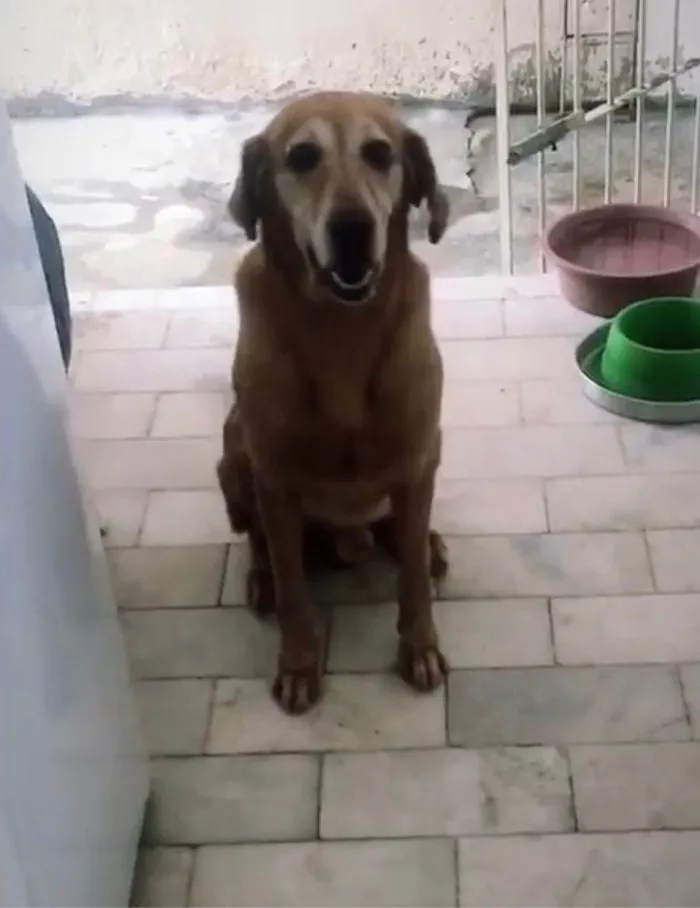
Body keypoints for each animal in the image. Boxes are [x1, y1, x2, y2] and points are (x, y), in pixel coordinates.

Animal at [216, 92, 452, 716]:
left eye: (380, 154)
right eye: (302, 157)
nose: (352, 228)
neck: (342, 333)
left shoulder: (417, 459)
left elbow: (413, 584)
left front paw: (419, 648)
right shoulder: (275, 480)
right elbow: (294, 588)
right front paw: (299, 664)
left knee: (408, 533)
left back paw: (424, 543)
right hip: (232, 458)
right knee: (260, 542)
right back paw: (262, 578)